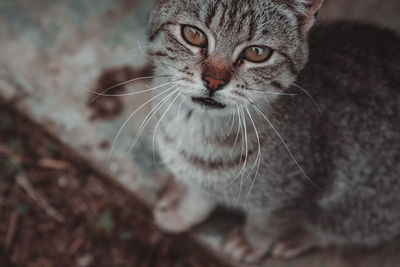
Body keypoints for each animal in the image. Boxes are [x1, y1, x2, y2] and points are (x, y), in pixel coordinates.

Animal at [145, 0, 400, 264]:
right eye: (193, 35)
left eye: (257, 53)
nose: (214, 82)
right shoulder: (202, 178)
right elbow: (200, 195)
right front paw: (183, 211)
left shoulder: (292, 194)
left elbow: (267, 222)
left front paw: (251, 242)